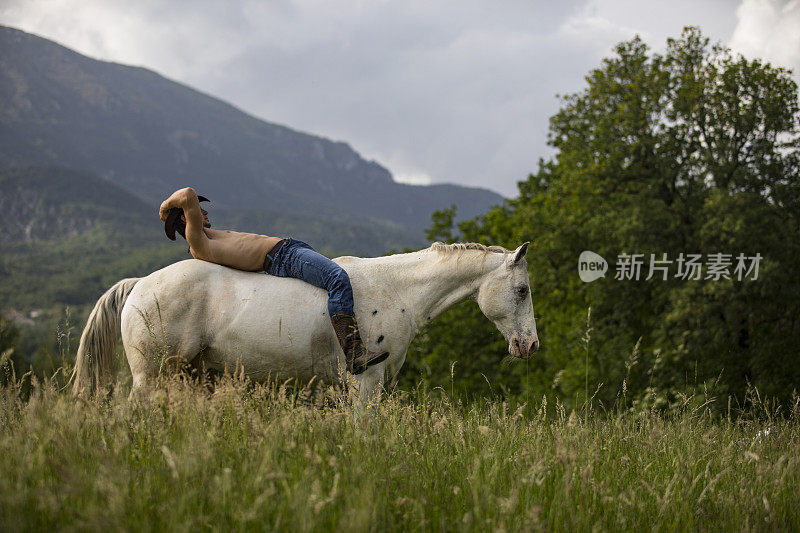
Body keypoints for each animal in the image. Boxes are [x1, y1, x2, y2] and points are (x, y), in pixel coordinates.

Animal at [73, 242, 536, 400]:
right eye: (522, 291)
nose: (530, 346)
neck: (397, 290)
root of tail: (139, 284)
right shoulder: (365, 384)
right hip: (150, 376)